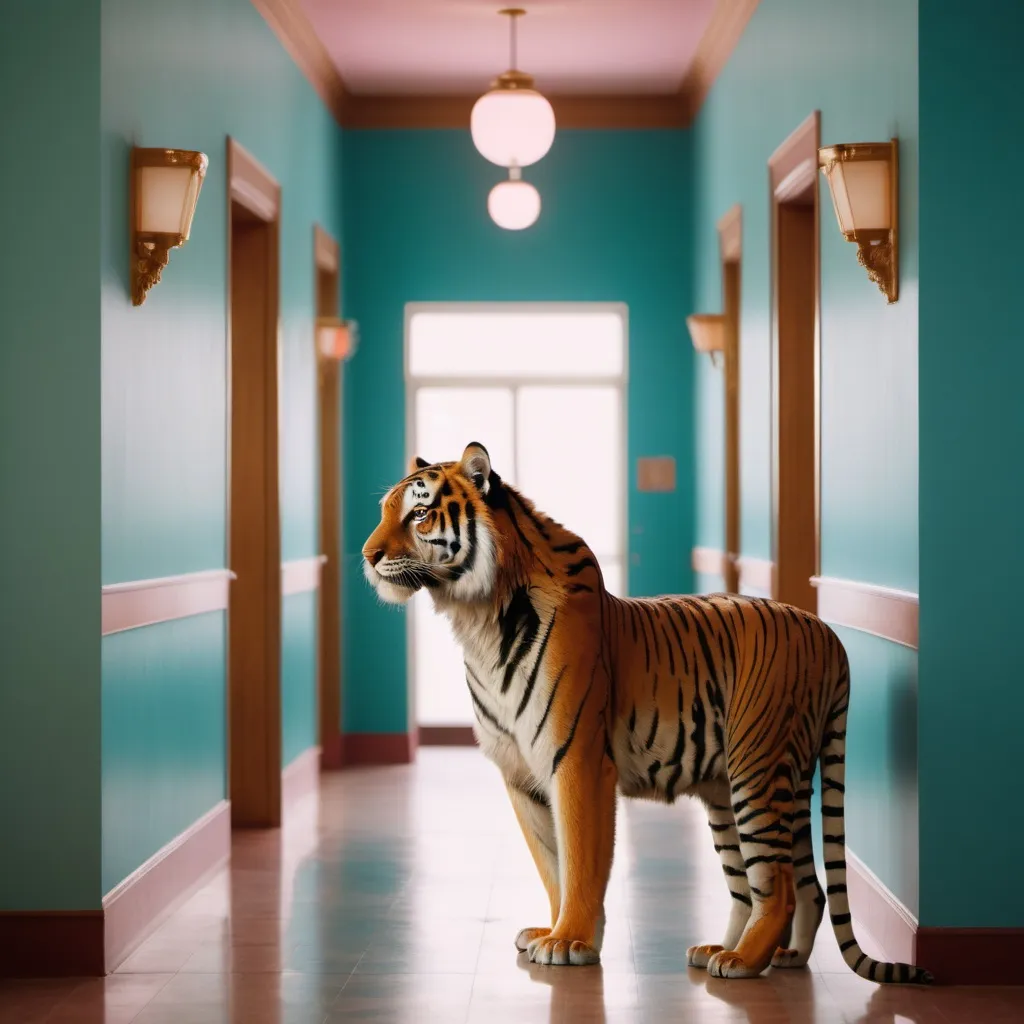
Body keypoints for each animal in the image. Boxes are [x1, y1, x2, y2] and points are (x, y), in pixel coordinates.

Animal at [362, 442, 937, 983]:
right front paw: (553, 931)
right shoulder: (521, 774)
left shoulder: (577, 761)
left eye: (418, 513)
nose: (367, 556)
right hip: (745, 790)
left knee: (778, 886)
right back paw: (758, 954)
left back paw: (742, 960)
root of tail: (827, 633)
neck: (478, 618)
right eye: (386, 510)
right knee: (795, 884)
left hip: (757, 770)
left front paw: (570, 941)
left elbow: (581, 859)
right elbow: (552, 865)